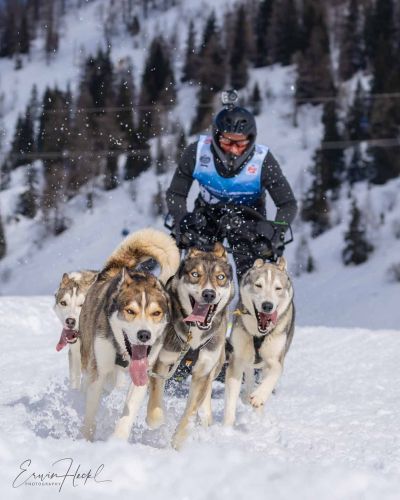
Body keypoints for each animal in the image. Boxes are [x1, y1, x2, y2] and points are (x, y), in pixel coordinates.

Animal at [79, 228, 180, 441]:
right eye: (130, 311)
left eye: (156, 313)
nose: (144, 335)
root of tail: (115, 270)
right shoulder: (98, 371)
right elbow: (90, 411)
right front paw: (86, 439)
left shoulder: (143, 373)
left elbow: (129, 411)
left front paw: (117, 441)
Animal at [138, 243, 235, 449]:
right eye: (195, 274)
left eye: (220, 277)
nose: (209, 294)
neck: (194, 335)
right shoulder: (162, 362)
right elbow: (155, 400)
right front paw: (157, 421)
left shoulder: (203, 371)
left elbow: (191, 410)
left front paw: (178, 439)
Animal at [224, 257, 295, 426]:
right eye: (258, 285)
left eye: (278, 288)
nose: (267, 305)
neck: (258, 334)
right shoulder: (237, 358)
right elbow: (232, 394)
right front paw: (226, 427)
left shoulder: (275, 359)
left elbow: (274, 373)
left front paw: (259, 397)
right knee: (248, 375)